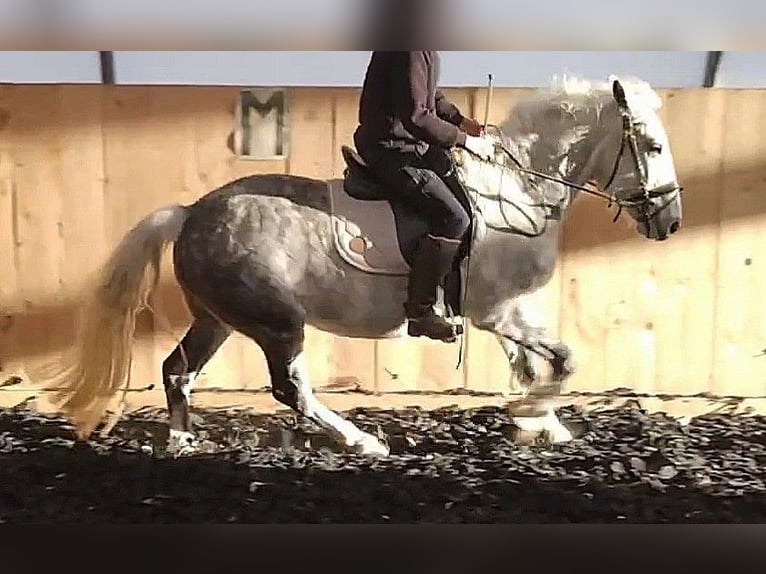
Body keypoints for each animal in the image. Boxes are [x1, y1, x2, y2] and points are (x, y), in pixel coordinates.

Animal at [48, 76, 684, 456]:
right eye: (652, 147)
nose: (672, 222)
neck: (517, 189)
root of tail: (189, 214)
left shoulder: (509, 310)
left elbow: (533, 364)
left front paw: (540, 424)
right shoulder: (497, 311)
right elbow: (563, 359)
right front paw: (531, 415)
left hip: (219, 318)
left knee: (179, 370)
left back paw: (182, 444)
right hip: (277, 323)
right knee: (290, 389)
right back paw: (363, 444)